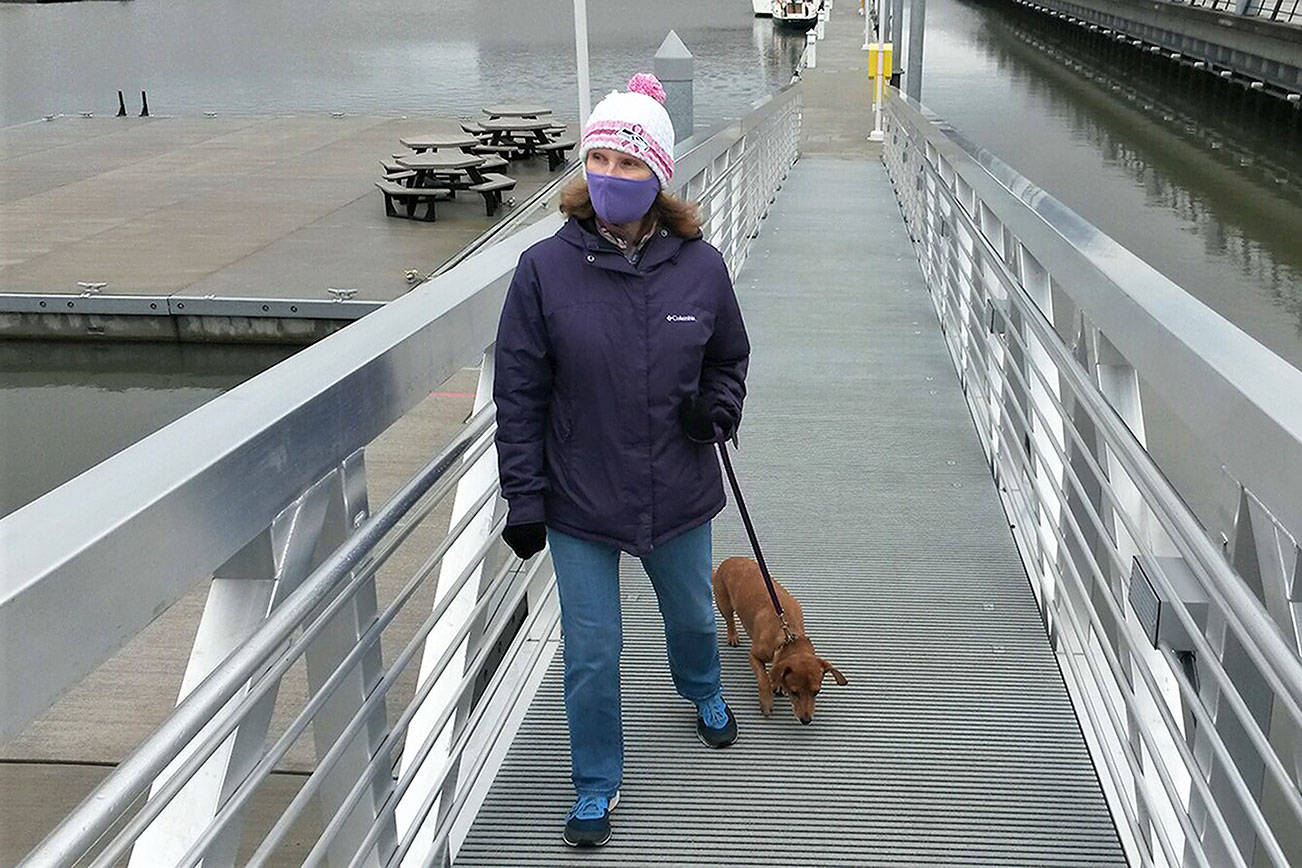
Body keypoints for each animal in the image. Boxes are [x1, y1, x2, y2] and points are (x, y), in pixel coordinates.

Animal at [708, 556, 848, 728]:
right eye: (794, 692)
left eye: (816, 692)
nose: (806, 721)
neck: (788, 637)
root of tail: (726, 562)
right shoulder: (754, 656)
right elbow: (763, 679)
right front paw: (767, 701)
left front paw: (778, 685)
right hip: (724, 604)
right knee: (729, 620)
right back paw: (732, 635)